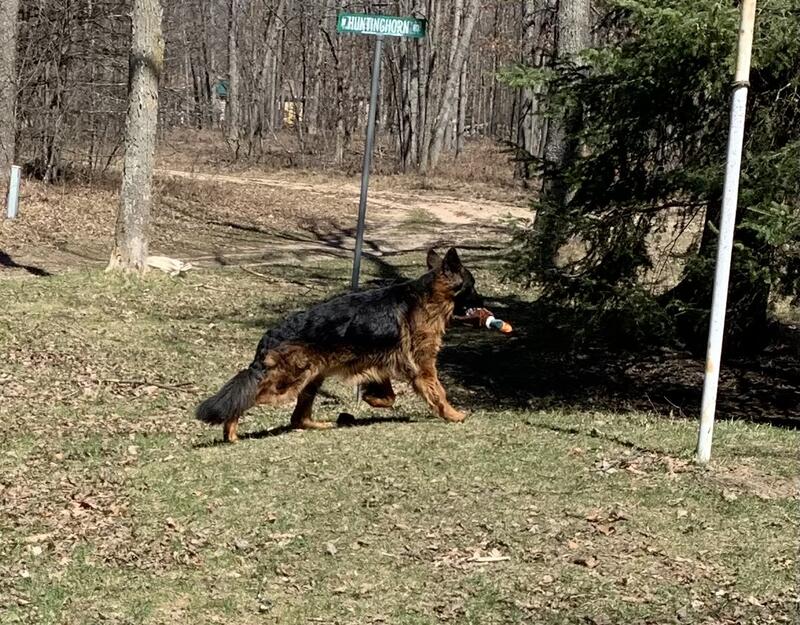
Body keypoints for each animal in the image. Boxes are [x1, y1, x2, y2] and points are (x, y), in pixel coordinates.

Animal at [196, 247, 483, 442]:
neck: (429, 297)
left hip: (312, 379)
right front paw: (454, 415)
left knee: (297, 418)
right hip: (287, 383)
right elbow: (439, 393)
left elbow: (388, 396)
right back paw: (230, 431)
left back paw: (322, 425)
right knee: (247, 397)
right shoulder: (423, 369)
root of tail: (271, 334)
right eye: (472, 287)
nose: (483, 302)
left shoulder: (380, 364)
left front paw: (371, 399)